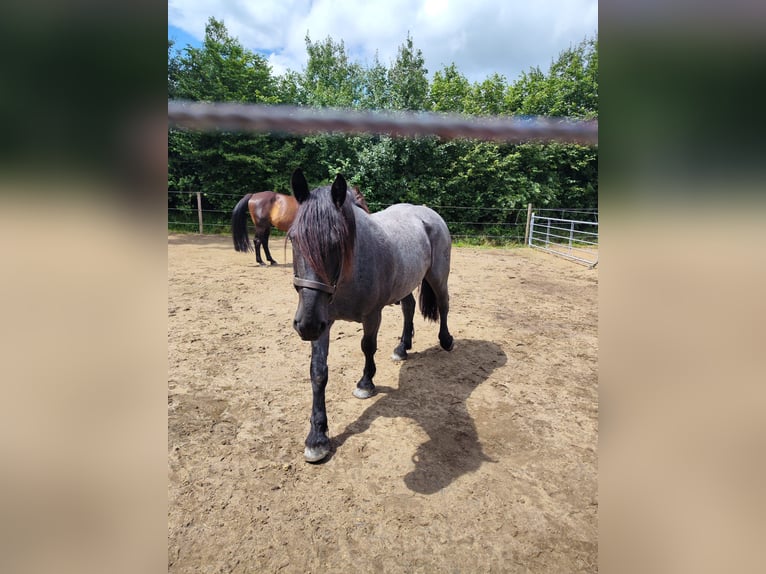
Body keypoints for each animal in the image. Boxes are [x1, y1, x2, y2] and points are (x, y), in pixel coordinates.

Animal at [230, 188, 370, 266]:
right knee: (258, 241)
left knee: (264, 242)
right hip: (261, 226)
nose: (368, 212)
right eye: (361, 198)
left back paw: (271, 260)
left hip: (267, 227)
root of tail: (253, 195)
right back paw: (261, 262)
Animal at [290, 168, 456, 464]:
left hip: (438, 276)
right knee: (408, 307)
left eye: (336, 243)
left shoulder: (372, 315)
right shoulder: (323, 322)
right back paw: (403, 347)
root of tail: (429, 214)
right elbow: (318, 372)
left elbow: (368, 347)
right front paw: (317, 438)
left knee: (444, 304)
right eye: (293, 238)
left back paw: (446, 341)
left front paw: (366, 384)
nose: (305, 325)